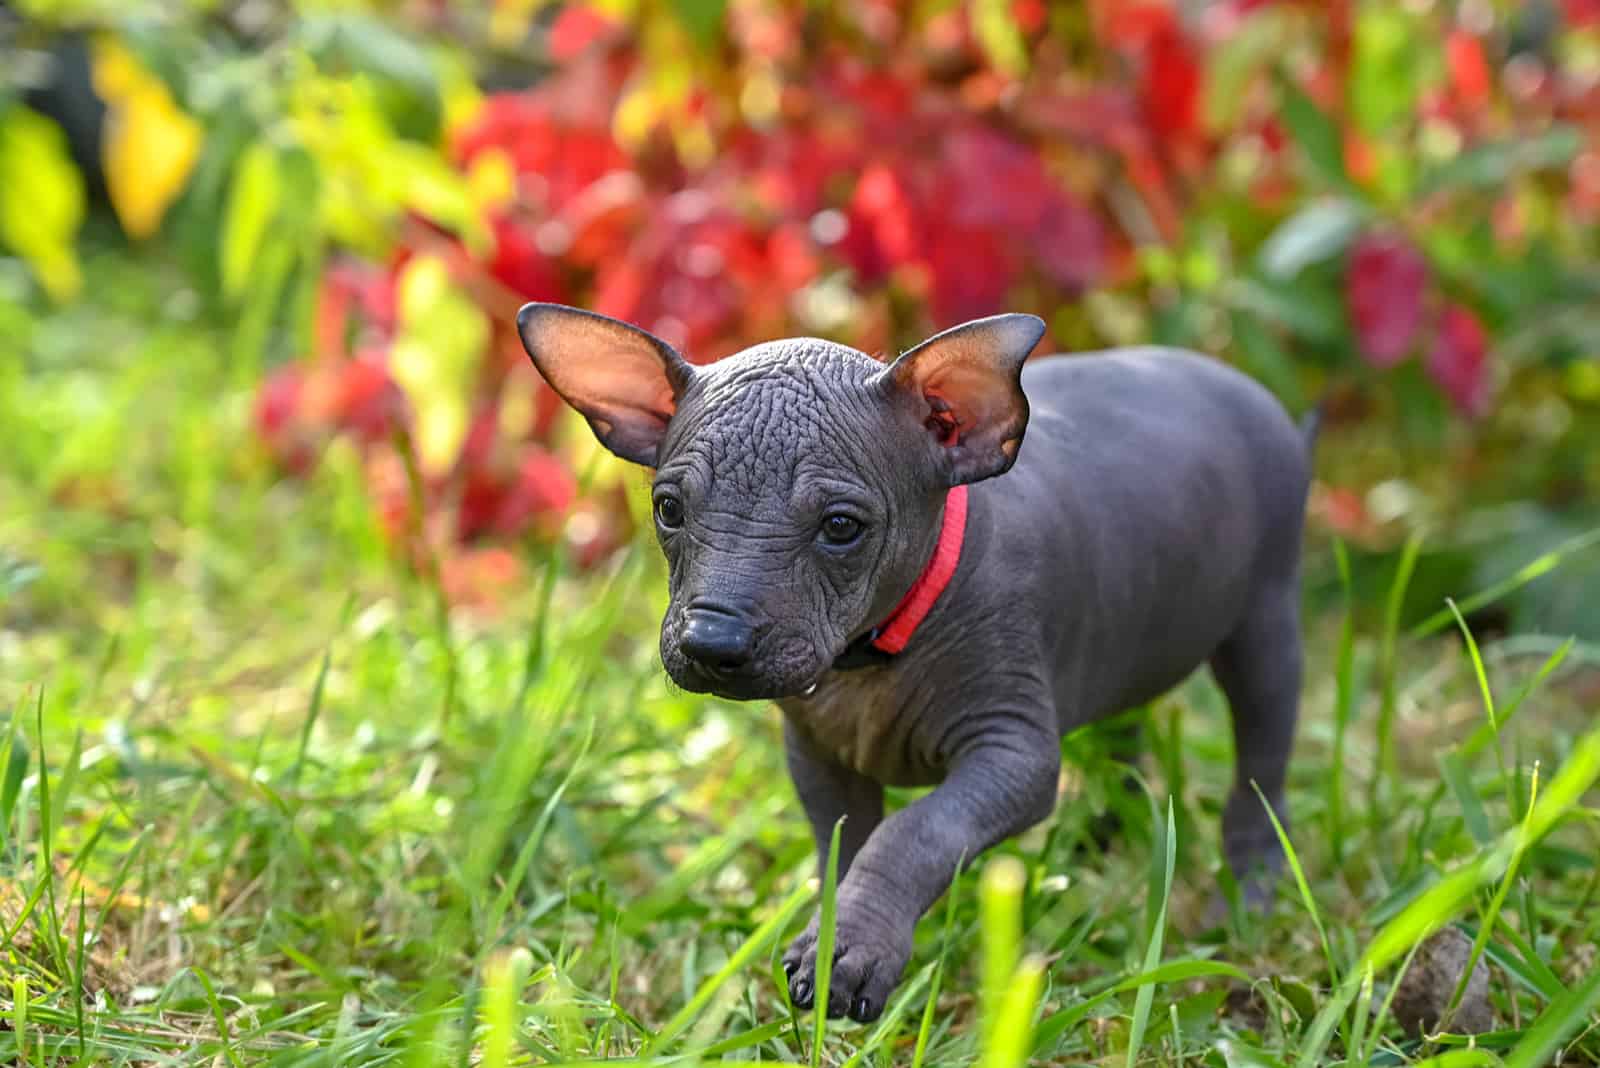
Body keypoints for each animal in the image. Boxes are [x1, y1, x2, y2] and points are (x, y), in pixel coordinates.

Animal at [515, 303, 1312, 1023]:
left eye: (842, 527)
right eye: (669, 510)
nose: (711, 643)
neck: (874, 653)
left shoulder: (1012, 753)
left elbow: (915, 832)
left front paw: (854, 953)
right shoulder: (815, 753)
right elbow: (845, 846)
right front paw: (831, 931)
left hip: (1269, 614)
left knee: (1262, 760)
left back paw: (1251, 890)